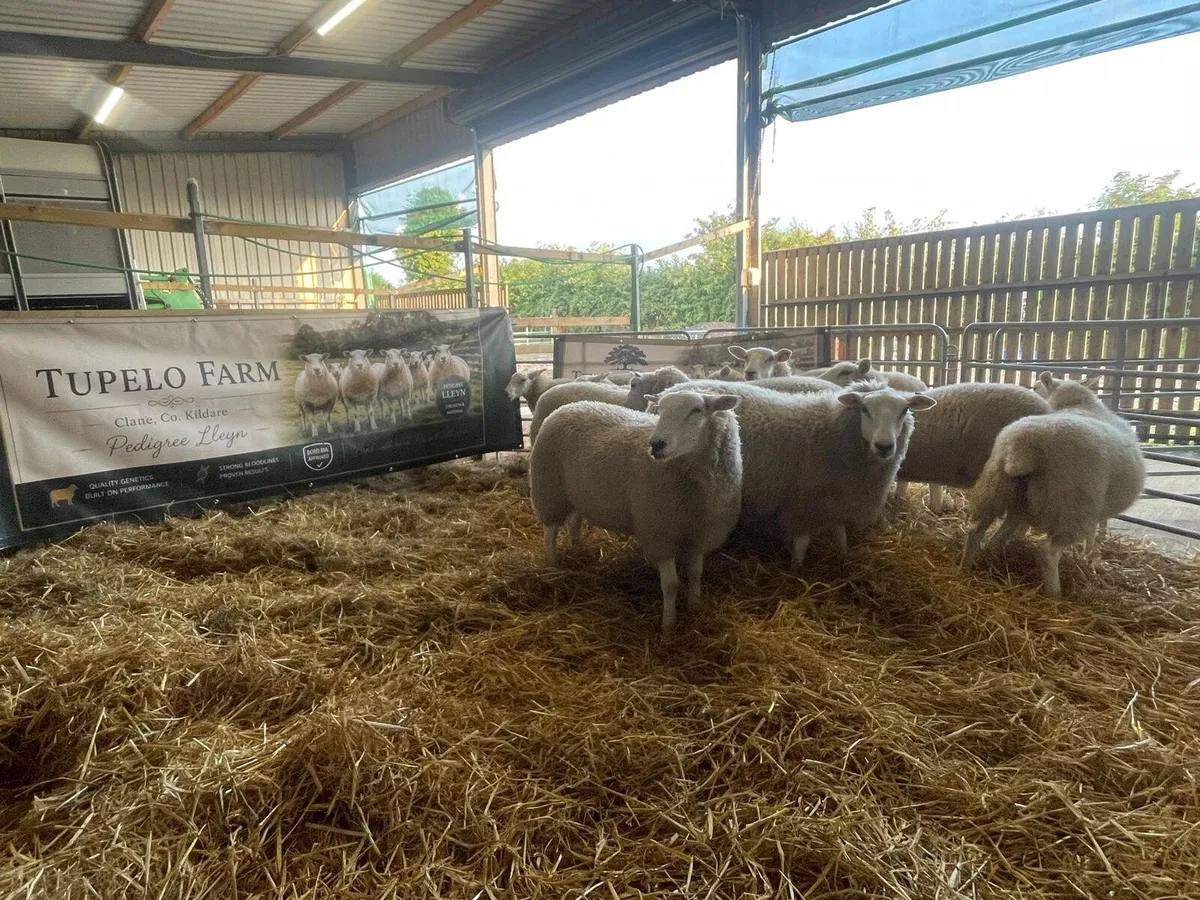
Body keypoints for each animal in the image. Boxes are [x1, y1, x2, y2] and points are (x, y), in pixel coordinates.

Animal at [529, 390, 743, 635]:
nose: (656, 444)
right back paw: (553, 563)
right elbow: (671, 585)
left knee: (574, 522)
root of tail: (570, 406)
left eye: (696, 410)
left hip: (580, 493)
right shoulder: (659, 534)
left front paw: (695, 608)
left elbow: (696, 573)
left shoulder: (700, 532)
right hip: (549, 489)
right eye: (659, 410)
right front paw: (668, 627)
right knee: (550, 531)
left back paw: (579, 550)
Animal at [663, 379, 935, 569]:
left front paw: (842, 557)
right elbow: (802, 544)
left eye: (904, 411)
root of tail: (678, 386)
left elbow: (840, 534)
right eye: (865, 409)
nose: (884, 446)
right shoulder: (804, 502)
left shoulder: (838, 499)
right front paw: (795, 570)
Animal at [962, 373, 1145, 596]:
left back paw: (969, 566)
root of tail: (1024, 447)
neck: (1082, 404)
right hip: (1069, 508)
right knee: (1048, 554)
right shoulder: (1095, 507)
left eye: (1036, 387)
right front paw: (1087, 555)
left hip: (997, 490)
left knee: (977, 531)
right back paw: (1055, 593)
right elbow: (1093, 533)